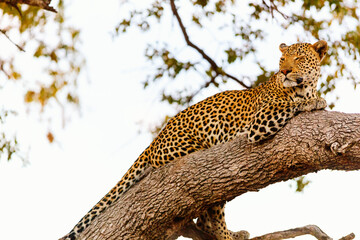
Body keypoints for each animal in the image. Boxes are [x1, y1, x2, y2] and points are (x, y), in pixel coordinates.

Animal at [60, 39, 328, 240]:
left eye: (299, 59)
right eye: (282, 60)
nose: (284, 72)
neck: (304, 87)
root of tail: (152, 143)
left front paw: (315, 99)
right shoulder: (260, 121)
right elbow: (291, 104)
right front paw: (315, 101)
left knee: (206, 217)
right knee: (210, 216)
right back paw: (228, 236)